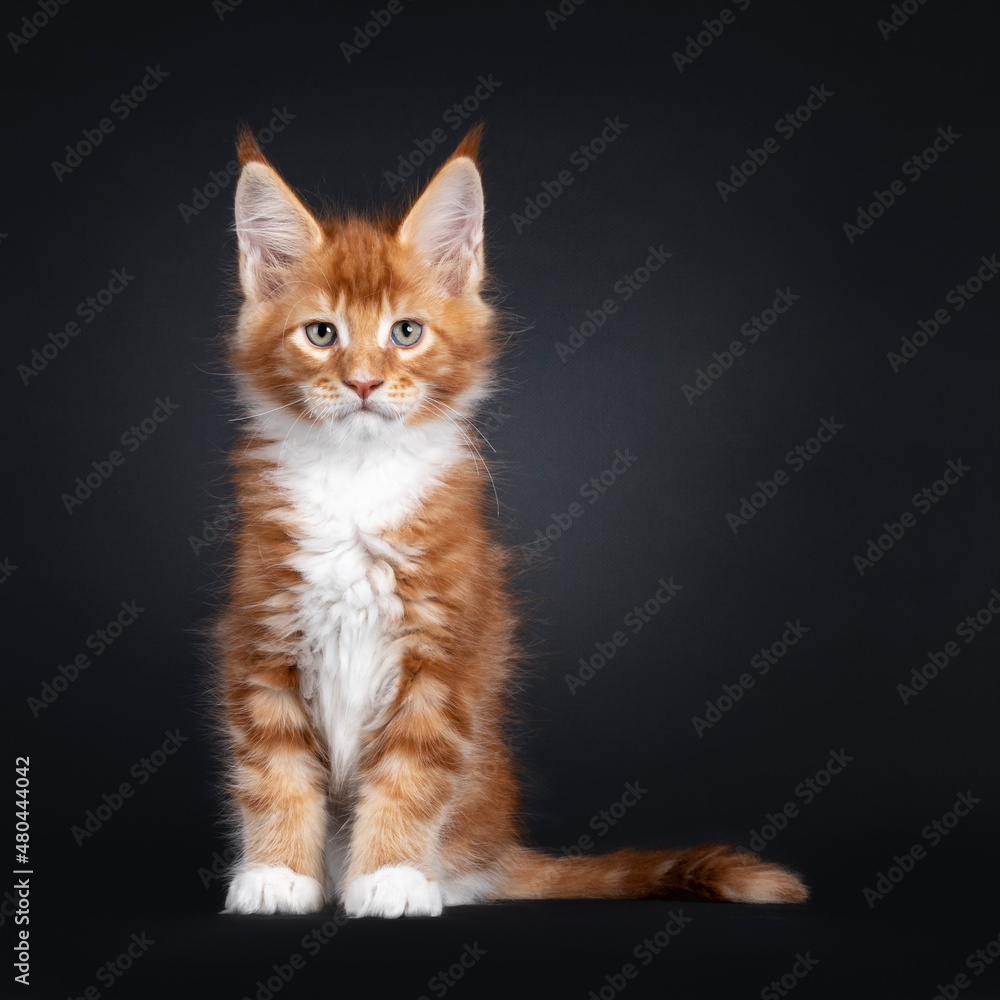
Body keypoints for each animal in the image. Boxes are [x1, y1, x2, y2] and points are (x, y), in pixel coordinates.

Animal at [217, 123, 804, 916]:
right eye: (321, 334)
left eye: (406, 332)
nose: (364, 381)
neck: (358, 481)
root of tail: (497, 850)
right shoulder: (262, 634)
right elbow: (272, 769)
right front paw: (278, 874)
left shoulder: (445, 651)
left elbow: (413, 773)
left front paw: (390, 875)